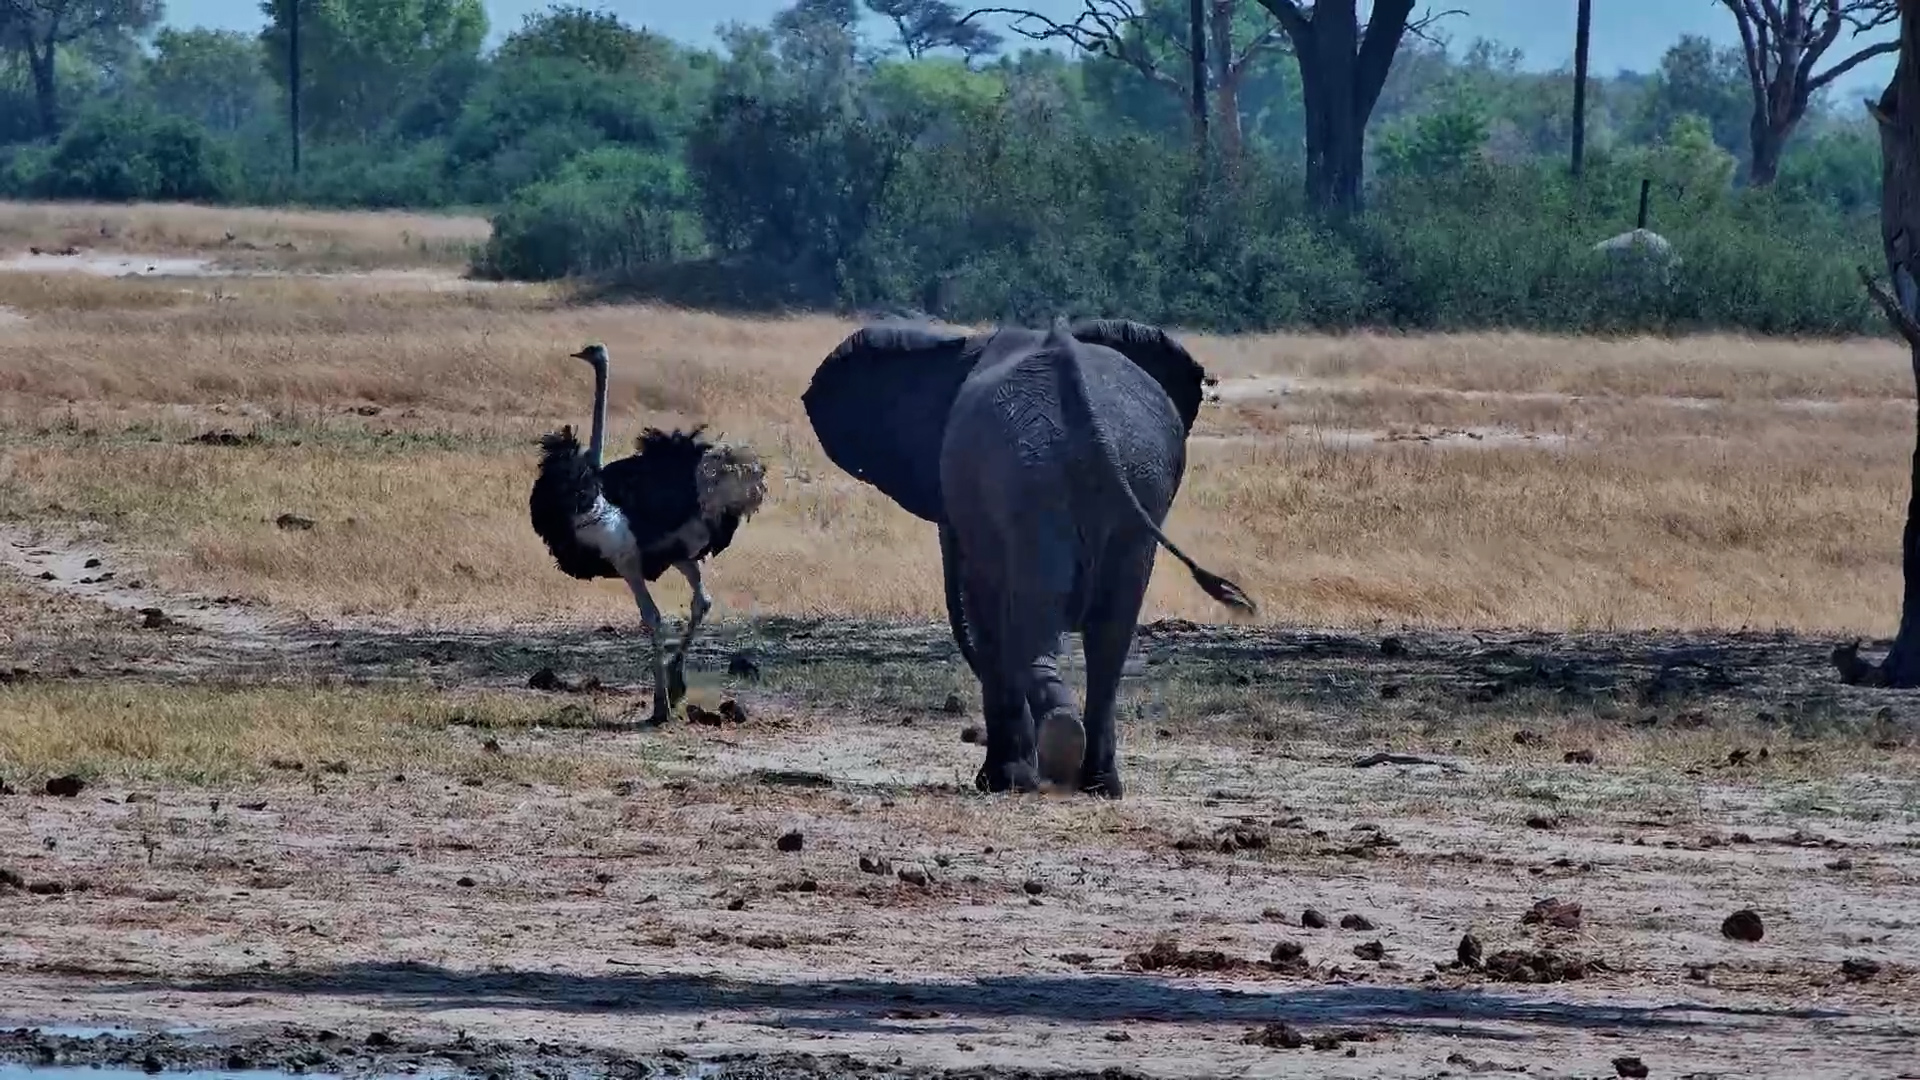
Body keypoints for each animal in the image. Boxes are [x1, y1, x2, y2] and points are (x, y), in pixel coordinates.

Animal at [802, 316, 1256, 798]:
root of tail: (1080, 396)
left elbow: (982, 611)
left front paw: (999, 780)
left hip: (1029, 477)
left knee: (1035, 623)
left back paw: (1054, 751)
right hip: (1134, 476)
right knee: (1107, 635)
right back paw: (1099, 781)